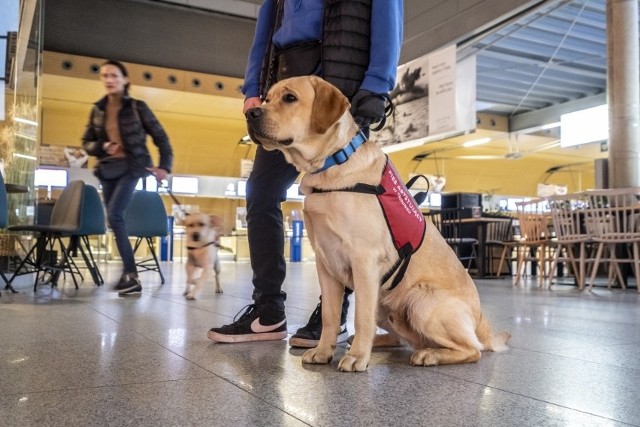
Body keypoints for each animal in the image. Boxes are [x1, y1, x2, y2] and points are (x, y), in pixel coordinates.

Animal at [245, 76, 510, 372]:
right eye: (266, 99)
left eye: (289, 98)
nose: (250, 113)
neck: (332, 162)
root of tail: (482, 320)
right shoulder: (325, 264)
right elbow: (329, 316)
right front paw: (324, 352)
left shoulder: (364, 260)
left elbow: (360, 317)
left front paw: (358, 358)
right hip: (386, 304)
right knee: (403, 338)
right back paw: (384, 343)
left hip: (420, 300)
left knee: (472, 349)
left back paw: (428, 354)